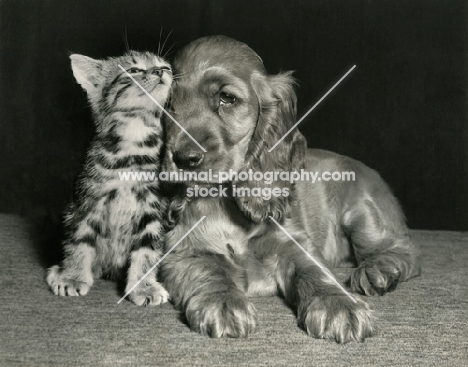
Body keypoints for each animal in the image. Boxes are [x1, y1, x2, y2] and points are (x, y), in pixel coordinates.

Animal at [46, 50, 172, 306]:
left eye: (165, 66)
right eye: (133, 70)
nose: (160, 71)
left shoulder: (153, 207)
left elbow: (148, 249)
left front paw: (144, 287)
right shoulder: (87, 201)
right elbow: (79, 240)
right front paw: (72, 277)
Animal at [161, 36, 420, 344]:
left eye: (227, 98)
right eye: (168, 103)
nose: (183, 158)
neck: (226, 202)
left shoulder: (292, 240)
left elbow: (313, 269)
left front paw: (338, 304)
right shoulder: (182, 252)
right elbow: (207, 270)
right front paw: (223, 300)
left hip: (363, 214)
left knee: (404, 250)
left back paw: (378, 270)